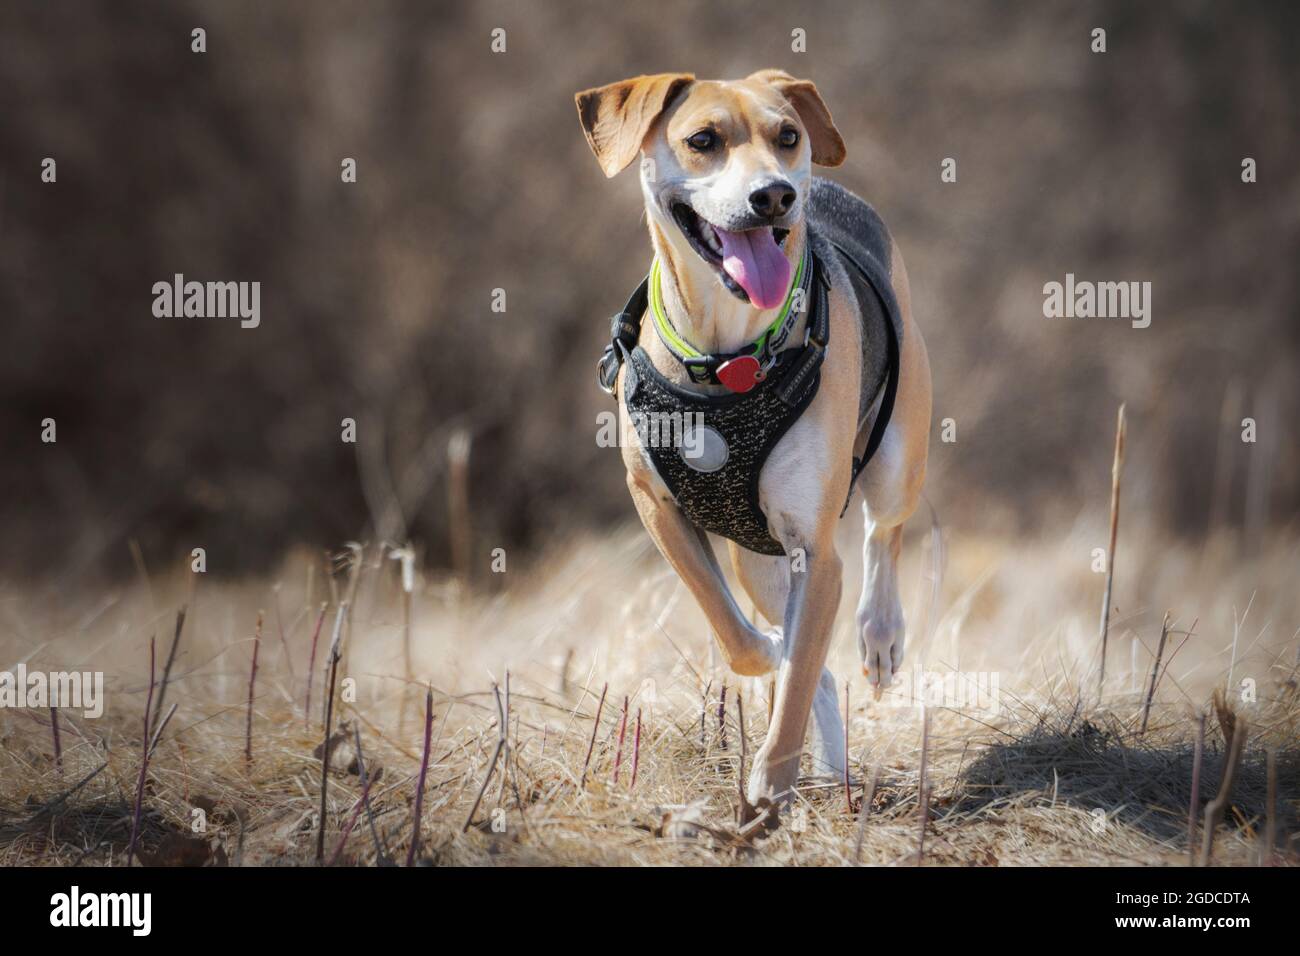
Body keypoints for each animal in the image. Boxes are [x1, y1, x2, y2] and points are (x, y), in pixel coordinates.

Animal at [574, 72, 930, 816]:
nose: (775, 195)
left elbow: (796, 675)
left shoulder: (816, 553)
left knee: (884, 531)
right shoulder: (656, 506)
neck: (727, 357)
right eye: (702, 139)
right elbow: (740, 635)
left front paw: (770, 782)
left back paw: (879, 636)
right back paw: (830, 764)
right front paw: (766, 655)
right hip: (756, 559)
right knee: (809, 652)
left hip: (898, 448)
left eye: (787, 135)